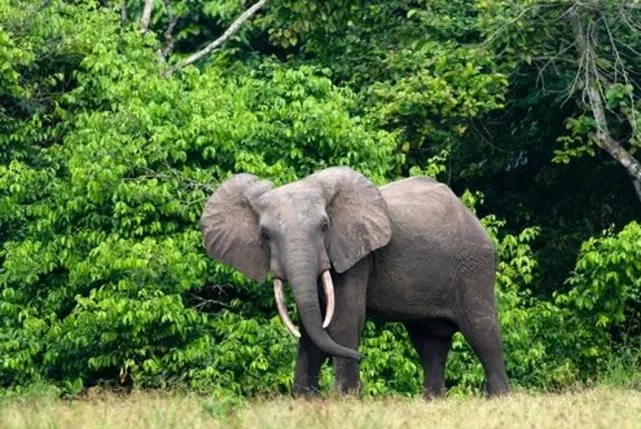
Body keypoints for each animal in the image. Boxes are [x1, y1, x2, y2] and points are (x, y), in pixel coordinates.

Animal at [200, 166, 510, 396]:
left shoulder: (355, 255)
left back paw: (499, 399)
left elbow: (344, 319)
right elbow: (314, 324)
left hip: (474, 264)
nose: (361, 357)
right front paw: (304, 400)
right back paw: (432, 402)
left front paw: (345, 398)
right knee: (429, 341)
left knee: (482, 329)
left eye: (325, 226)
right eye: (264, 235)